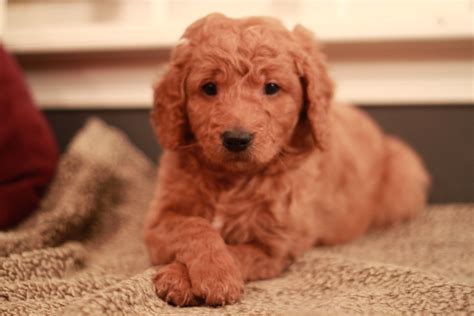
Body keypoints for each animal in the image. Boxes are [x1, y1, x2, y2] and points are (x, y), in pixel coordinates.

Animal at [143, 12, 430, 306]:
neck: (234, 179)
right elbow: (193, 226)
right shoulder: (158, 223)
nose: (236, 139)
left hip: (403, 172)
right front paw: (198, 274)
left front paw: (207, 277)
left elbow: (236, 252)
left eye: (271, 88)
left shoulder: (274, 249)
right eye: (209, 88)